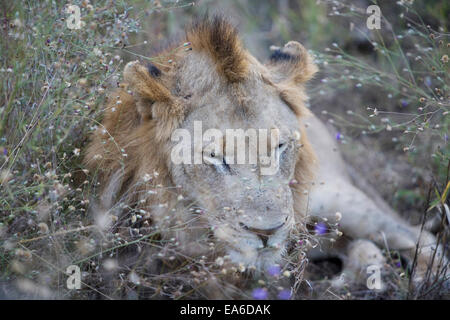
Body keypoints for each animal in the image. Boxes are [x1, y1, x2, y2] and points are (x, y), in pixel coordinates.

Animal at [84, 16, 446, 296]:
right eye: (215, 156)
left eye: (281, 147)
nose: (266, 234)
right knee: (362, 246)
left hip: (332, 198)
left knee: (418, 236)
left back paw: (425, 282)